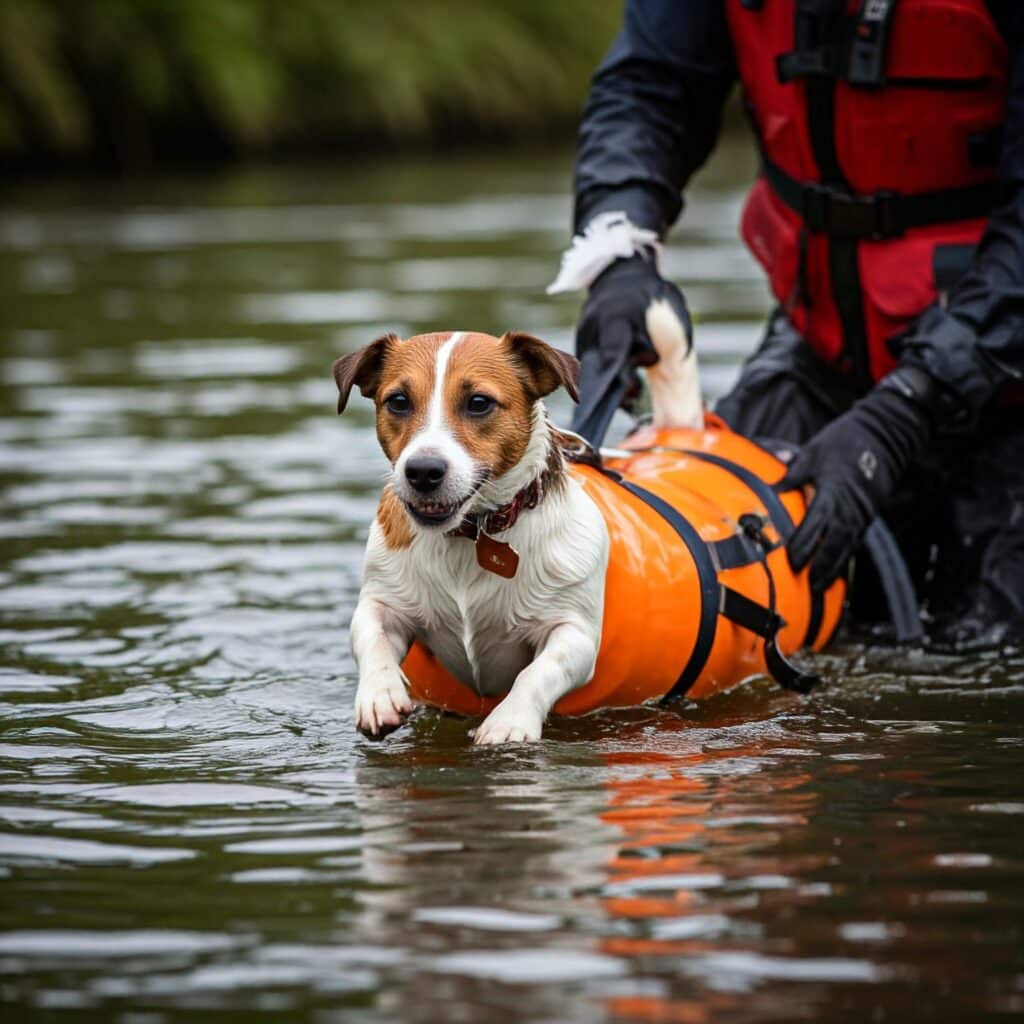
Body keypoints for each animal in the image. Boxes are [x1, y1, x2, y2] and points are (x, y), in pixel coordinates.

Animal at [335, 303, 839, 745]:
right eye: (398, 401)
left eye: (479, 403)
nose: (422, 471)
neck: (476, 534)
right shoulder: (384, 601)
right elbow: (369, 635)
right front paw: (380, 695)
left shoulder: (574, 632)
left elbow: (539, 671)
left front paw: (509, 720)